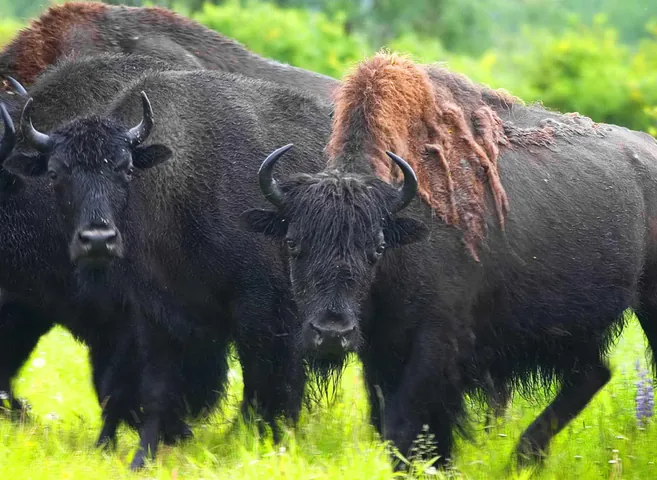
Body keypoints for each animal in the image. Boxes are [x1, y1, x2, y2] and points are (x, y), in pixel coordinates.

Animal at [240, 53, 657, 467]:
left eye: (377, 247)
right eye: (293, 243)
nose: (331, 332)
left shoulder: (435, 345)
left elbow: (404, 422)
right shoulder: (380, 350)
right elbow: (391, 423)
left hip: (640, 309)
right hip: (570, 332)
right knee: (593, 374)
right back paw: (525, 457)